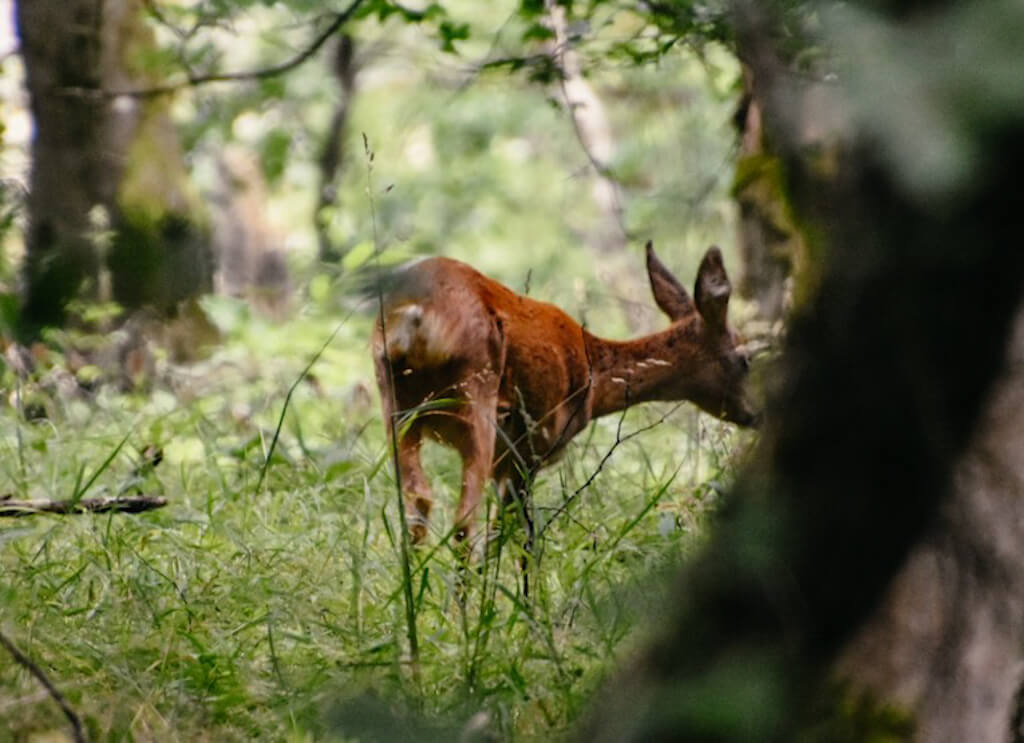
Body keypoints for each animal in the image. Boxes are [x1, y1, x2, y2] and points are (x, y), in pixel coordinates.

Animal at [372, 241, 759, 577]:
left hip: (396, 403)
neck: (593, 376)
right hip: (475, 395)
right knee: (464, 520)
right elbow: (518, 538)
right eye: (745, 360)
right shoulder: (529, 448)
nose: (756, 414)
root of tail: (416, 313)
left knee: (418, 502)